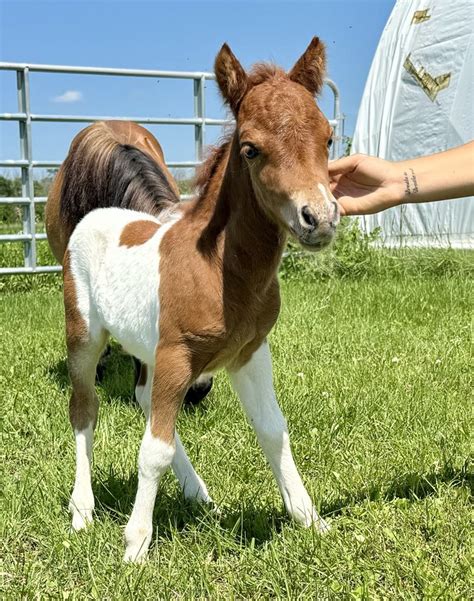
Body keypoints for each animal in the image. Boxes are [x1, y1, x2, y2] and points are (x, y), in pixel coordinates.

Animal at [63, 38, 338, 564]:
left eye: (329, 138)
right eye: (250, 148)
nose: (319, 217)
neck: (220, 270)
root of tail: (96, 215)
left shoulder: (249, 353)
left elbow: (272, 430)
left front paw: (310, 520)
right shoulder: (178, 354)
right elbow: (153, 451)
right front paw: (134, 547)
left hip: (148, 351)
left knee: (145, 402)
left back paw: (197, 493)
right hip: (85, 336)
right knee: (85, 410)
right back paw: (82, 510)